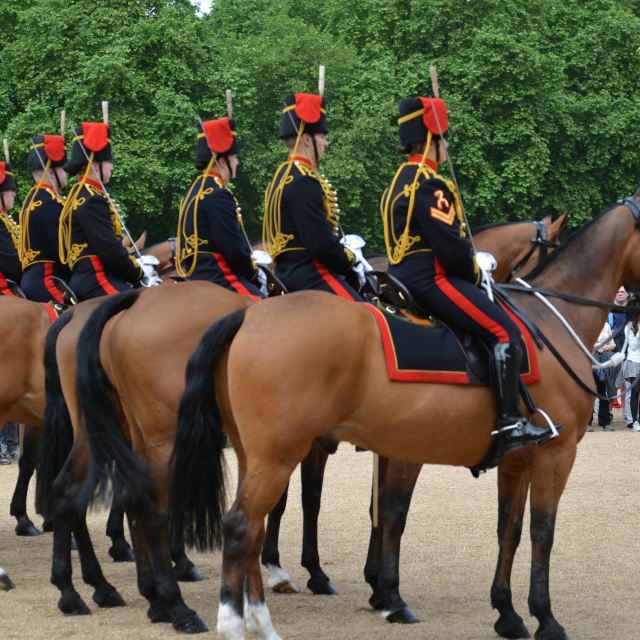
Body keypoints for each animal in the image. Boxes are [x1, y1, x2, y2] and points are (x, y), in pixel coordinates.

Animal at [169, 196, 640, 640]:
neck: (547, 323)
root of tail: (247, 314)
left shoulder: (515, 459)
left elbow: (507, 528)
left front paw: (506, 614)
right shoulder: (553, 455)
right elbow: (539, 532)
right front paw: (544, 618)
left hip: (256, 454)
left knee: (253, 524)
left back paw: (259, 611)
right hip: (278, 455)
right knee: (241, 526)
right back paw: (238, 620)